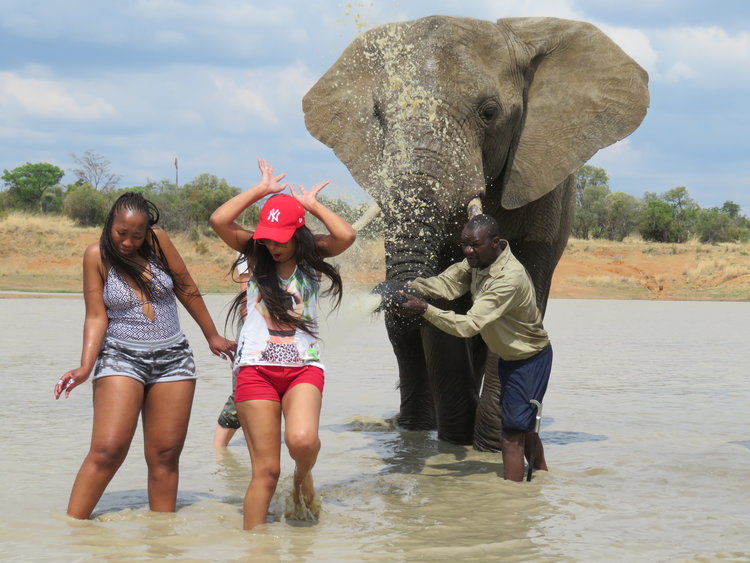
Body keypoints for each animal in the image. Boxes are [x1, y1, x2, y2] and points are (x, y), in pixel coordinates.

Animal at [303, 15, 649, 451]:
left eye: (489, 112)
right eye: (378, 114)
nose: (388, 293)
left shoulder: (542, 185)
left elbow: (522, 296)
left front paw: (489, 449)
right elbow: (443, 306)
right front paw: (454, 445)